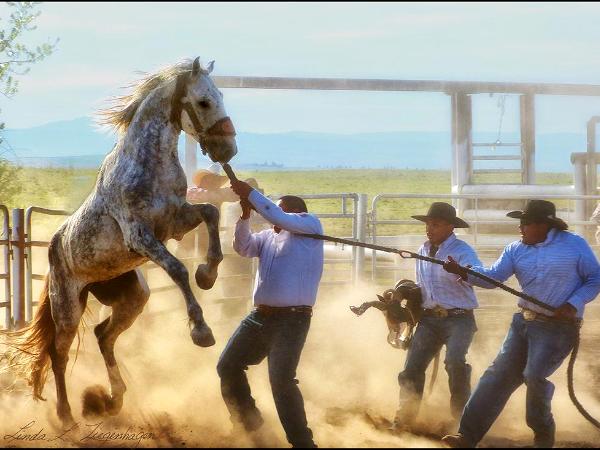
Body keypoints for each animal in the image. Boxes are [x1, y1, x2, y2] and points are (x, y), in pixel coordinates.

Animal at [6, 56, 239, 426]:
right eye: (204, 102)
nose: (228, 149)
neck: (148, 164)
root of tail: (54, 249)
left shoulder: (175, 221)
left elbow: (211, 214)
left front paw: (208, 273)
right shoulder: (141, 236)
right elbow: (177, 269)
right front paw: (201, 330)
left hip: (132, 296)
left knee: (104, 336)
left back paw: (114, 398)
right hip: (68, 306)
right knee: (58, 352)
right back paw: (66, 415)